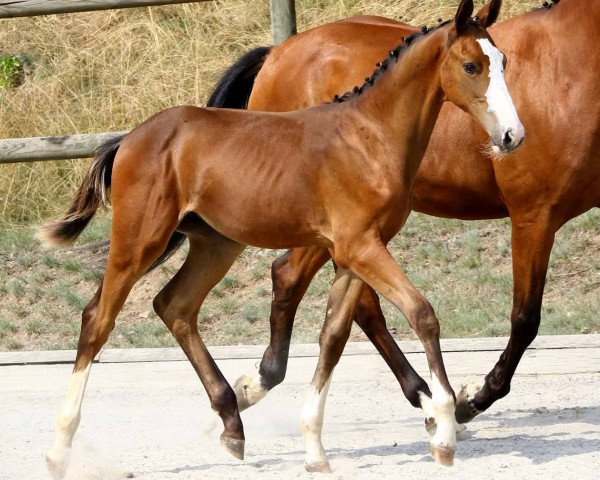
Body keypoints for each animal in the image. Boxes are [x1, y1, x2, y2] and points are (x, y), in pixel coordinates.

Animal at [43, 0, 520, 476]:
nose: (512, 136)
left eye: (504, 62)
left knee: (174, 305)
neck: (369, 136)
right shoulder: (360, 247)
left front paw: (315, 450)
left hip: (217, 244)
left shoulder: (355, 253)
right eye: (471, 65)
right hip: (139, 241)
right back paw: (59, 448)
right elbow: (422, 314)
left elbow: (334, 337)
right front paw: (444, 430)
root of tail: (130, 137)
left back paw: (232, 423)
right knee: (97, 320)